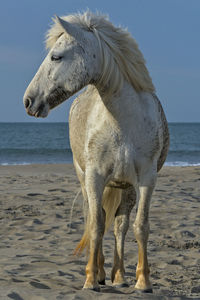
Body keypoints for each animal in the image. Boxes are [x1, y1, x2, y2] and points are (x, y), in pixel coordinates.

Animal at [24, 11, 170, 292]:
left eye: (56, 56)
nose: (28, 101)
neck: (124, 122)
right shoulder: (94, 177)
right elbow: (96, 225)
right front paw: (91, 279)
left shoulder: (147, 179)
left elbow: (140, 226)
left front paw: (143, 281)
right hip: (85, 179)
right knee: (97, 218)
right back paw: (102, 273)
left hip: (126, 187)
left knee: (120, 225)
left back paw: (119, 276)